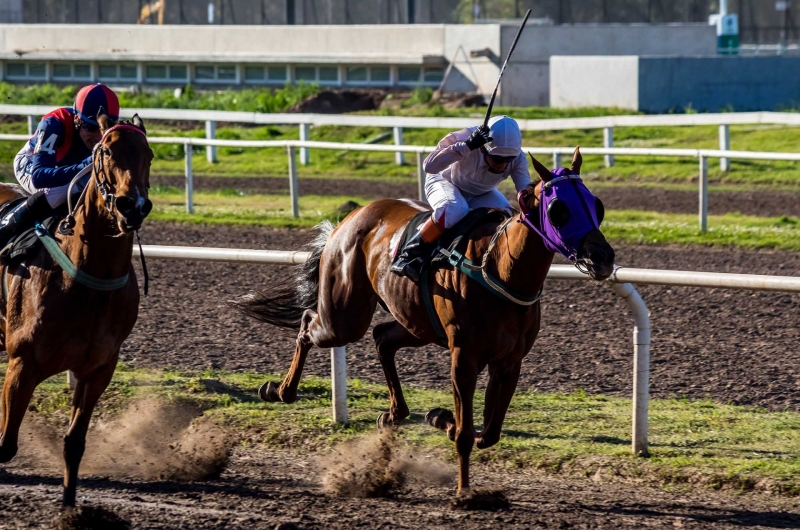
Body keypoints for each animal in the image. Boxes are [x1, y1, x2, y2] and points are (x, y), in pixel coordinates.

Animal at [0, 113, 153, 506]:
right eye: (108, 151)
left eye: (149, 154)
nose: (133, 206)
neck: (86, 277)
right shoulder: (22, 363)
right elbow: (6, 446)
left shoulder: (97, 370)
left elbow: (74, 444)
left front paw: (70, 509)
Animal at [234, 146, 616, 498]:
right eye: (558, 210)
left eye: (597, 205)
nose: (602, 257)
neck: (500, 270)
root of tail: (351, 217)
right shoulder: (463, 355)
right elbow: (466, 434)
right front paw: (464, 492)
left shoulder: (509, 360)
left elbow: (489, 433)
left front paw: (440, 418)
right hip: (344, 316)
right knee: (308, 323)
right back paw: (281, 389)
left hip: (415, 322)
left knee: (382, 337)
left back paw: (392, 413)